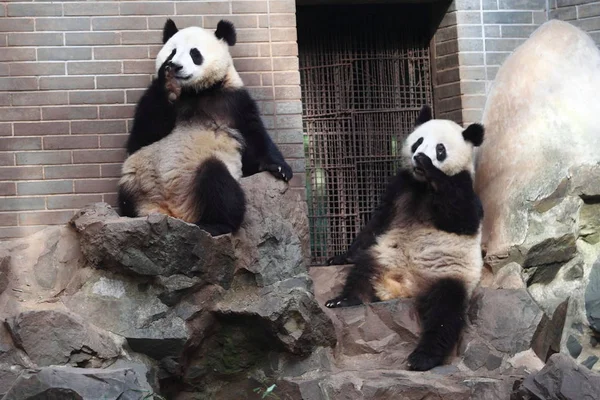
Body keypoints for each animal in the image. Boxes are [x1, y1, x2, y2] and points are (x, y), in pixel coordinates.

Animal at [116, 19, 290, 238]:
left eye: (195, 53)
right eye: (172, 52)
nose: (175, 66)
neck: (195, 92)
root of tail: (174, 213)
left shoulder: (234, 101)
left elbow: (254, 136)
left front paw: (279, 168)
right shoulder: (154, 103)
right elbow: (140, 138)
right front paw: (168, 84)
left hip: (197, 181)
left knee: (217, 183)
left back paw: (216, 225)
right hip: (136, 180)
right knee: (126, 194)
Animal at [326, 105, 486, 372]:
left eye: (440, 149)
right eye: (419, 141)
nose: (419, 157)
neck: (422, 185)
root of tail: (408, 287)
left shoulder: (463, 188)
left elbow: (463, 217)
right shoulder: (400, 187)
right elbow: (377, 221)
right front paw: (340, 257)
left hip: (450, 274)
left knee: (445, 313)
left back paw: (423, 357)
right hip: (385, 256)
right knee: (363, 271)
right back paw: (345, 300)